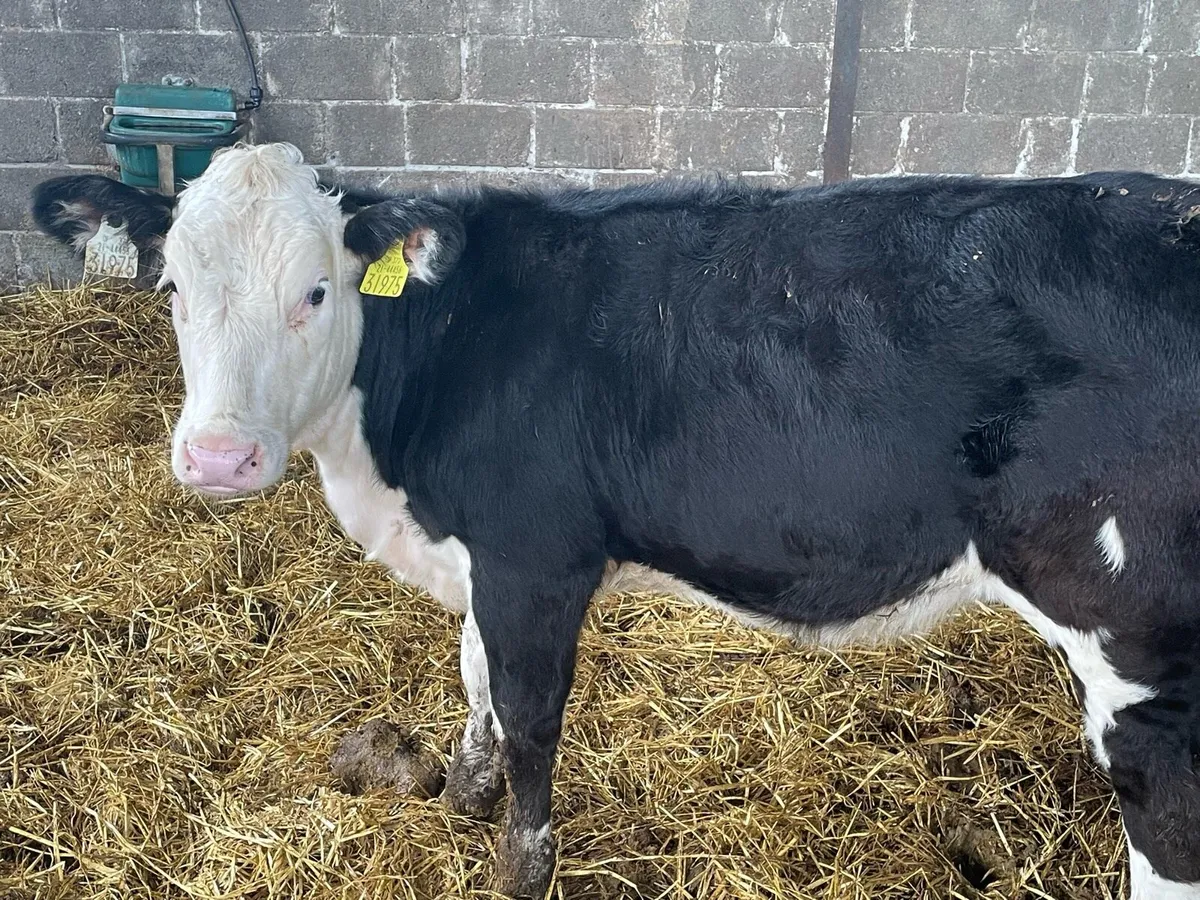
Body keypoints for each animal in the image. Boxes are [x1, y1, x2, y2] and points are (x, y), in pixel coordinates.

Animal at [31, 142, 1200, 899]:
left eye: (318, 291)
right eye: (172, 289)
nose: (216, 458)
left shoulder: (537, 558)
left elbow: (528, 710)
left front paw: (521, 864)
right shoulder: (481, 558)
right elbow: (472, 674)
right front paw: (462, 789)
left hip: (1140, 642)